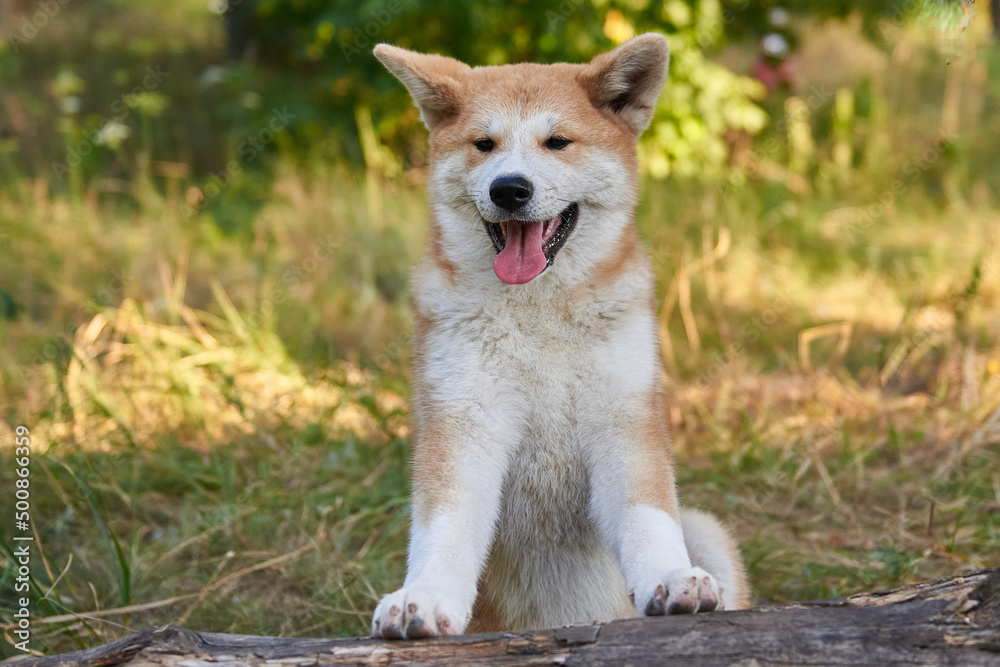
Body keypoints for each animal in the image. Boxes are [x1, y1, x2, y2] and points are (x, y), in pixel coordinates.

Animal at [372, 34, 748, 640]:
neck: (539, 316)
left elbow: (647, 517)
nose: (509, 189)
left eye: (557, 142)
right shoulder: (463, 419)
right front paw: (423, 598)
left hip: (707, 530)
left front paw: (670, 578)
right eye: (484, 144)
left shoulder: (624, 418)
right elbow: (444, 527)